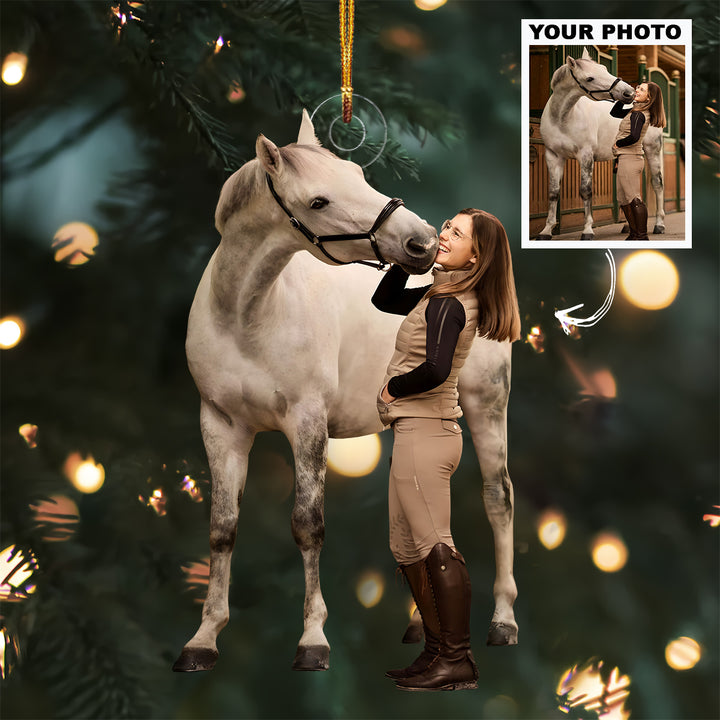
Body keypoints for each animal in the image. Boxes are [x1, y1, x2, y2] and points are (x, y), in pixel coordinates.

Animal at [172, 110, 518, 673]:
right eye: (318, 201)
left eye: (358, 174)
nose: (423, 241)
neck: (247, 316)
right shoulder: (220, 424)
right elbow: (222, 527)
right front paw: (203, 639)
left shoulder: (308, 421)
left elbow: (307, 523)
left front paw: (313, 640)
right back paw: (421, 624)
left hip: (487, 404)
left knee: (498, 497)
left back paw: (503, 622)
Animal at [536, 48, 665, 241]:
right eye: (590, 78)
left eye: (604, 68)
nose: (629, 92)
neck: (562, 118)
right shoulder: (553, 155)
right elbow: (553, 193)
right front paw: (546, 231)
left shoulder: (585, 155)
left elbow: (586, 191)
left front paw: (588, 230)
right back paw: (628, 227)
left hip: (652, 151)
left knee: (657, 184)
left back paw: (659, 225)